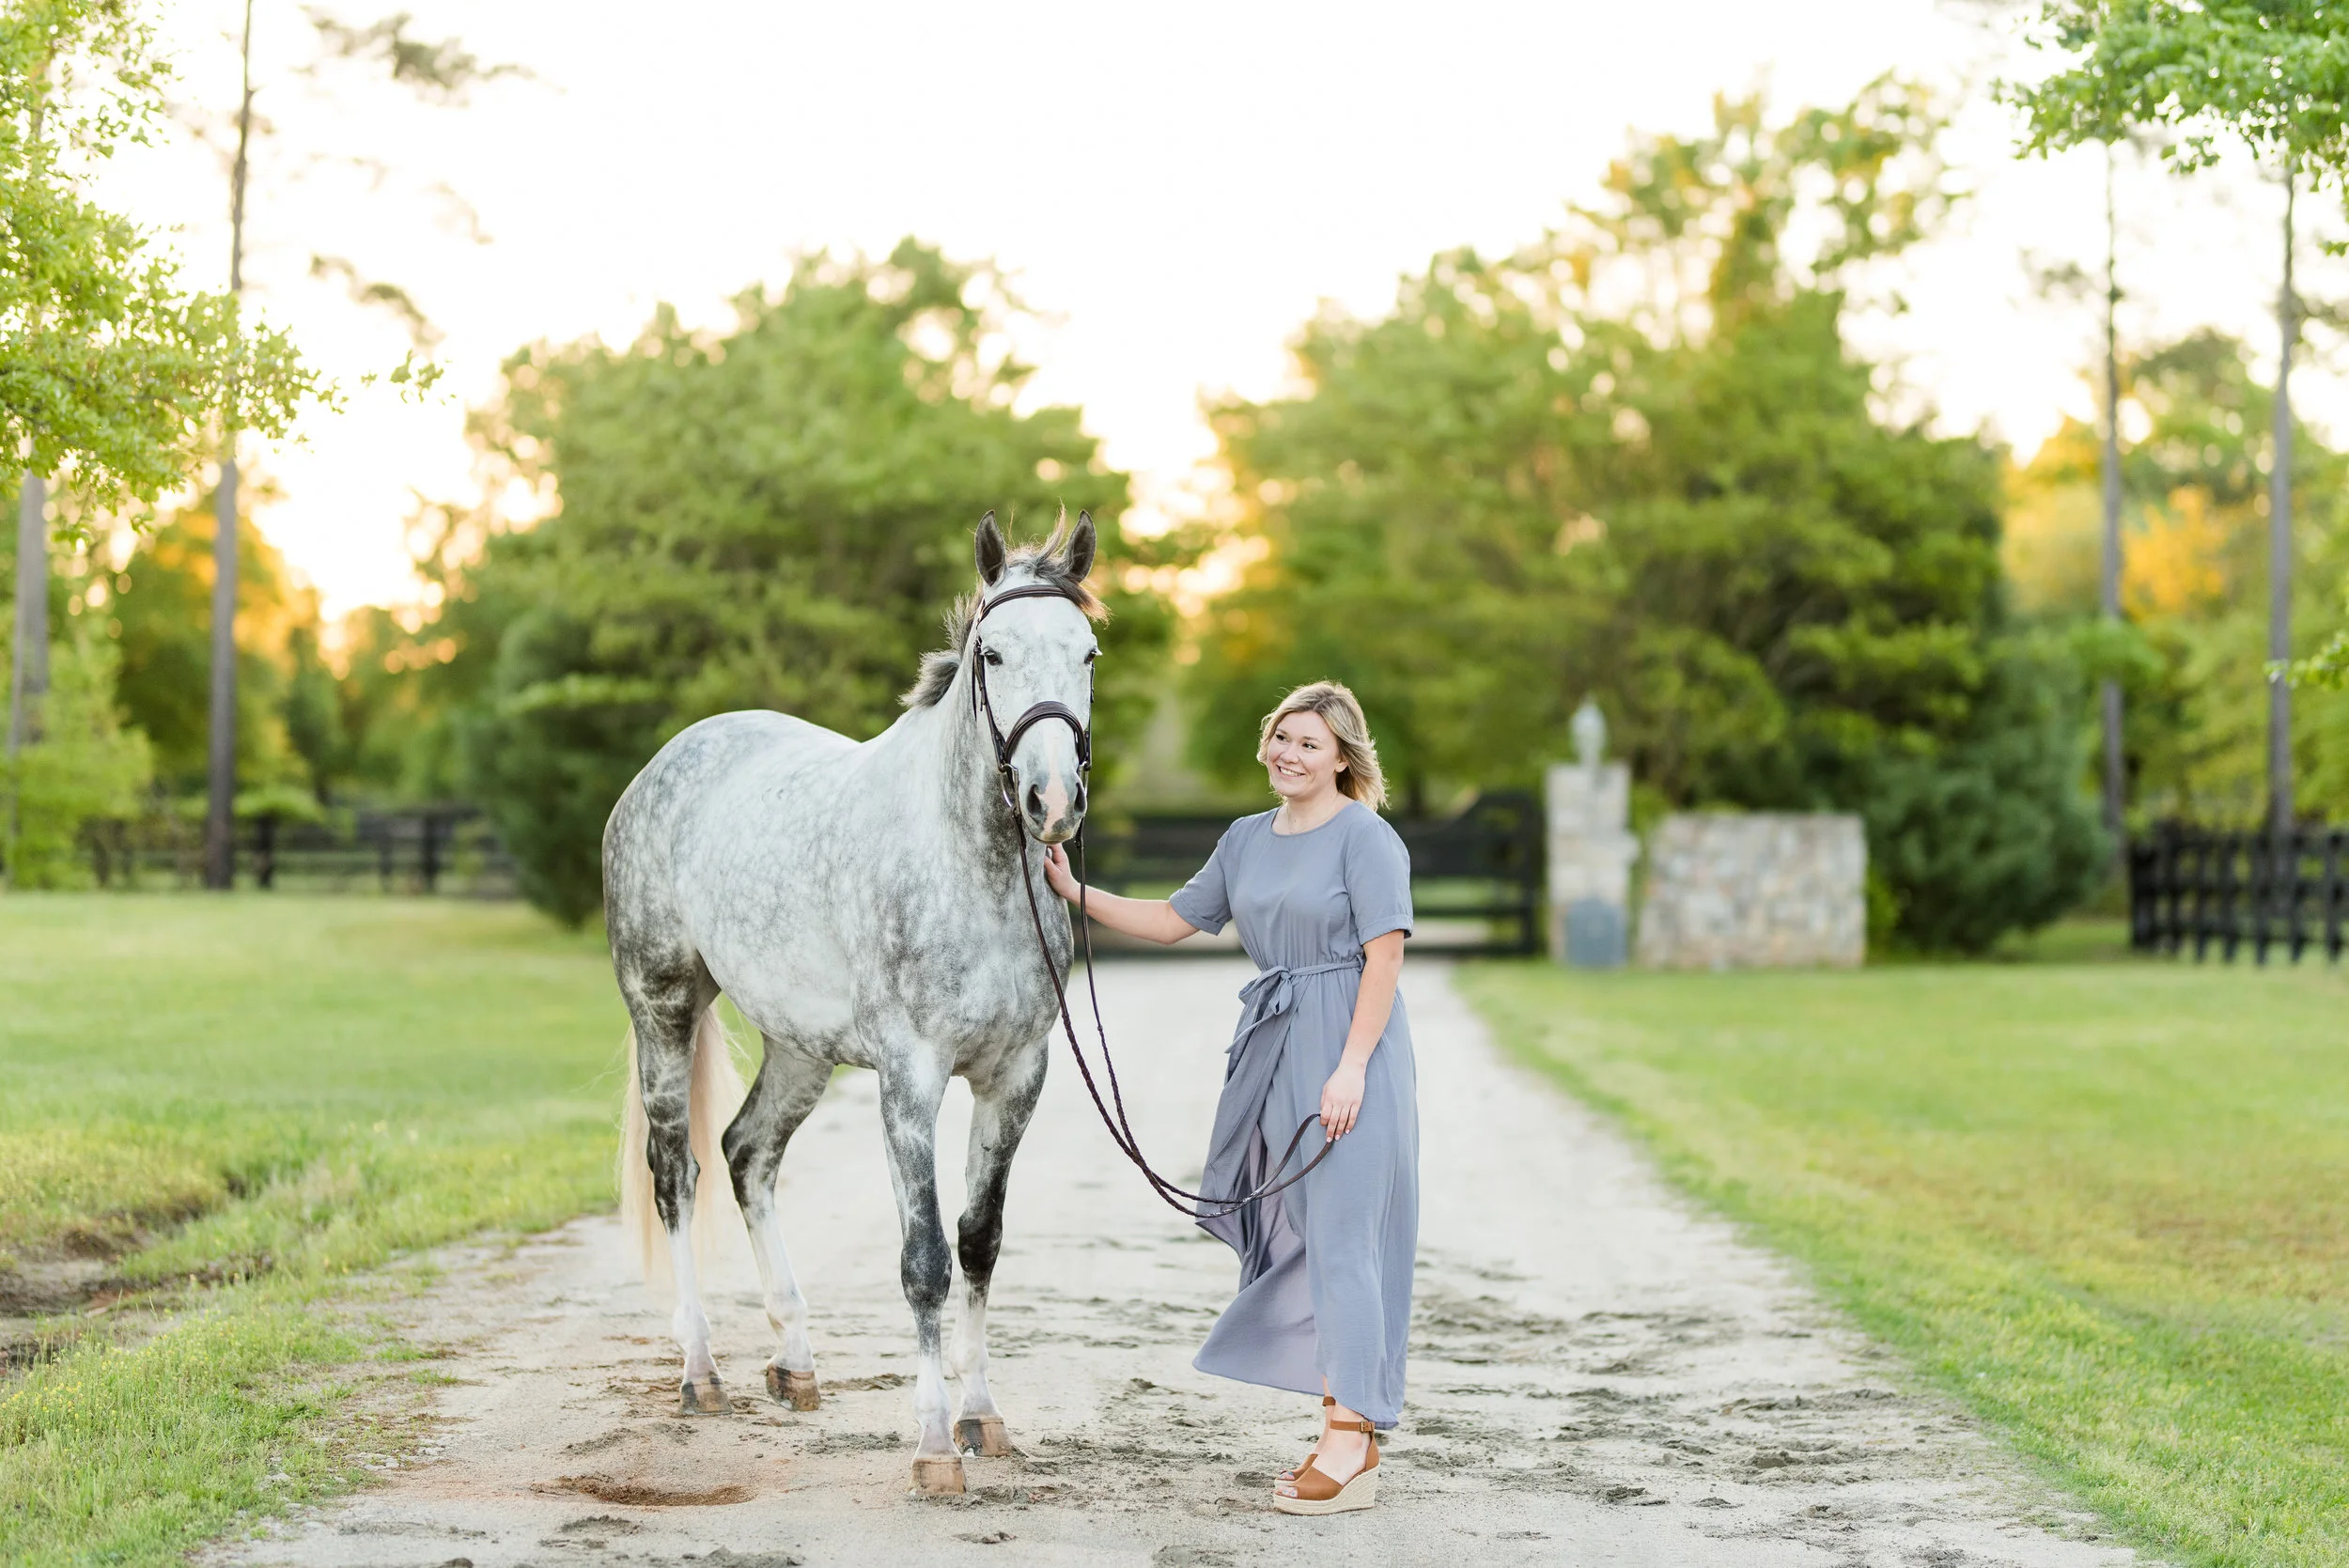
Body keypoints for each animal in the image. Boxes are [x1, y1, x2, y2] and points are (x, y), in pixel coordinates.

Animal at [607, 510, 1101, 1495]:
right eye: (991, 653)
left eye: (1090, 652)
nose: (1052, 800)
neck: (968, 865)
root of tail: (663, 765)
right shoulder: (910, 1079)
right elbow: (924, 1260)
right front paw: (933, 1443)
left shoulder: (1015, 1077)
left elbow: (979, 1240)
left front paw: (983, 1416)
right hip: (662, 1008)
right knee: (677, 1171)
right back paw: (700, 1372)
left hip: (800, 1049)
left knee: (747, 1154)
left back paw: (794, 1361)